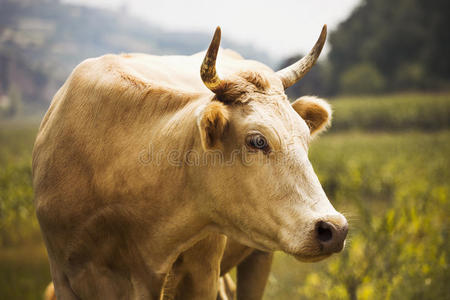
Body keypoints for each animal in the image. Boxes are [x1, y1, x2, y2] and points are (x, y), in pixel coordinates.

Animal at [33, 24, 348, 300]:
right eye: (257, 141)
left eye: (305, 136)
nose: (334, 229)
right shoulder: (63, 278)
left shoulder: (200, 276)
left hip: (258, 257)